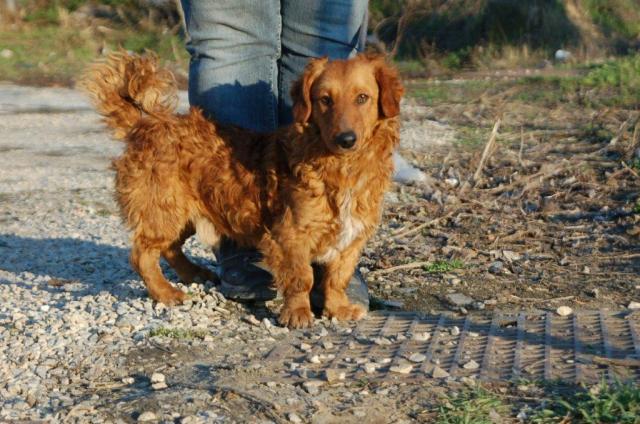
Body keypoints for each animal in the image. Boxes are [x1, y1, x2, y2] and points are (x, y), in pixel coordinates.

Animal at [81, 52, 403, 328]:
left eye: (363, 98)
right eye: (324, 100)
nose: (346, 139)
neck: (341, 167)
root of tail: (144, 124)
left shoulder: (352, 238)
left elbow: (336, 279)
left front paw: (338, 308)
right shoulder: (291, 235)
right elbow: (302, 277)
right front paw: (297, 313)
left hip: (182, 215)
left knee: (169, 248)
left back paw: (194, 274)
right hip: (163, 210)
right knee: (142, 255)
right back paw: (166, 293)